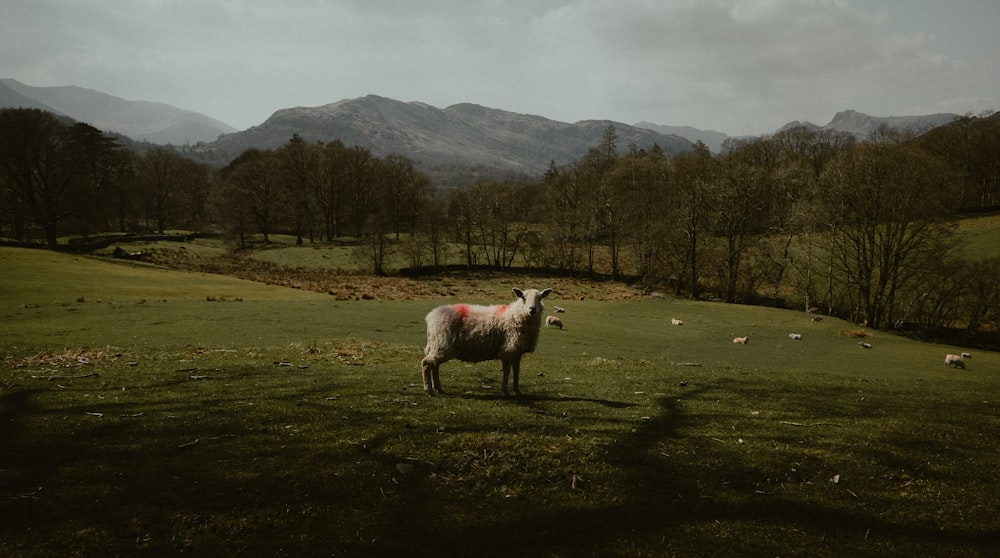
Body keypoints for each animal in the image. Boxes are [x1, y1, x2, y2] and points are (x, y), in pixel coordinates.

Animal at [418, 288, 552, 398]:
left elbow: (517, 371)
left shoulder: (517, 352)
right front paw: (505, 391)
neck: (515, 315)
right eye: (523, 297)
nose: (532, 309)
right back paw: (429, 390)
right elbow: (507, 371)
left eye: (540, 297)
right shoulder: (508, 349)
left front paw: (517, 391)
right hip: (442, 344)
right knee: (426, 363)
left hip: (438, 344)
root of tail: (431, 316)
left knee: (434, 366)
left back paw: (439, 388)